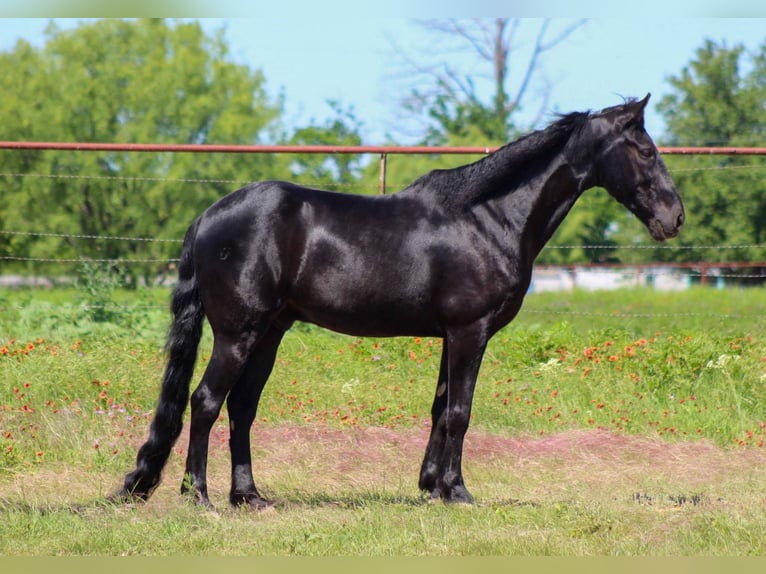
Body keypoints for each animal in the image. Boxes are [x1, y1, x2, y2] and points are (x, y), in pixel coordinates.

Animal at [113, 94, 684, 509]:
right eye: (646, 151)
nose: (673, 218)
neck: (488, 218)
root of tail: (209, 216)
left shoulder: (451, 335)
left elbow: (439, 409)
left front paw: (431, 486)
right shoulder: (470, 332)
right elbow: (460, 412)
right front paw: (457, 492)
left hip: (270, 333)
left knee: (242, 408)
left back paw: (249, 497)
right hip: (238, 334)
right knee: (206, 402)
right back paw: (199, 497)